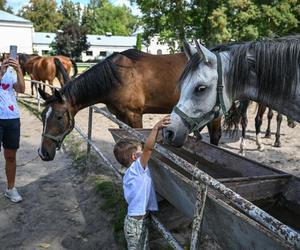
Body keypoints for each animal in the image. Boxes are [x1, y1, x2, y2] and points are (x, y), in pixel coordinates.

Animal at [35, 49, 223, 161]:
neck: (116, 77)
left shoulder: (134, 115)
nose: (43, 153)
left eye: (59, 117)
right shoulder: (120, 116)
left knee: (215, 137)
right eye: (43, 116)